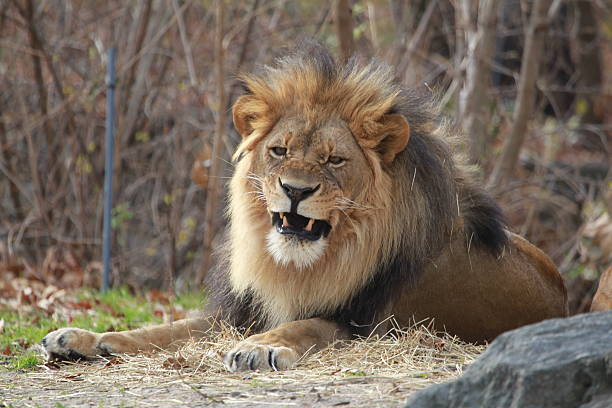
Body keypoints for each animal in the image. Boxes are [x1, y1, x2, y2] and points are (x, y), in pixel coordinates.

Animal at [41, 43, 568, 372]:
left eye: (334, 160)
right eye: (279, 151)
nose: (295, 190)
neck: (297, 268)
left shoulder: (368, 325)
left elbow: (305, 324)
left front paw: (260, 349)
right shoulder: (234, 313)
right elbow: (163, 329)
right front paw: (82, 338)